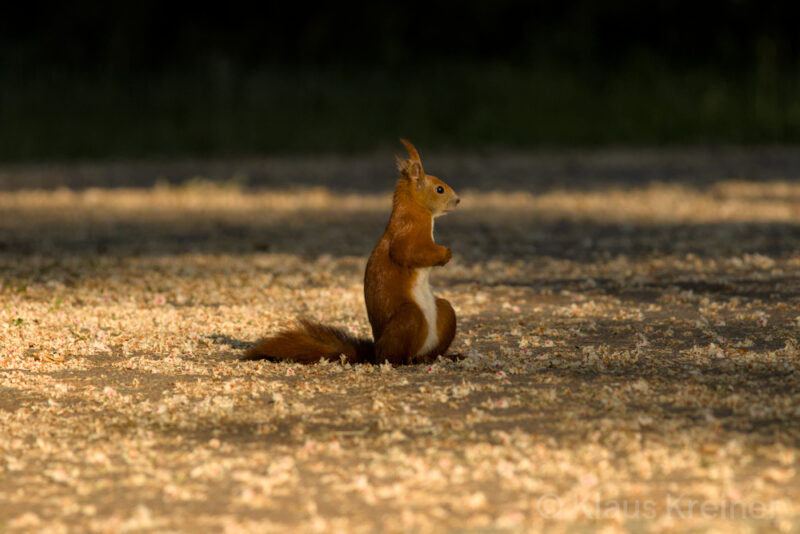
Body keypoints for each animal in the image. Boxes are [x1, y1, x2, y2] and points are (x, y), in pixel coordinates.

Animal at [243, 139, 460, 365]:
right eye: (439, 189)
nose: (458, 200)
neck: (417, 210)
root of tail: (375, 351)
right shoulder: (407, 232)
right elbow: (407, 253)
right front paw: (445, 254)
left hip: (445, 313)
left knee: (436, 336)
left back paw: (446, 356)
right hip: (410, 319)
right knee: (393, 356)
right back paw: (410, 360)